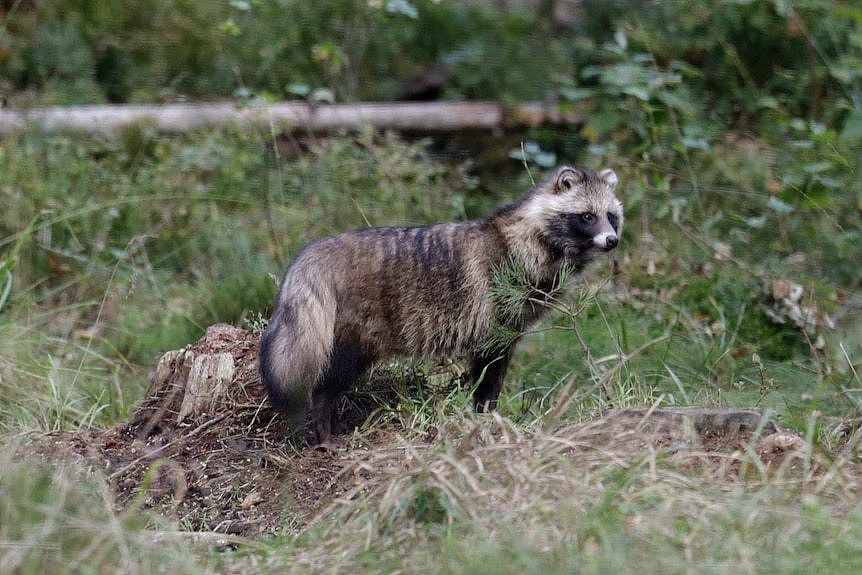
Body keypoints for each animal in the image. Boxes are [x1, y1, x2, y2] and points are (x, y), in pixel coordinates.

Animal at [260, 165, 624, 446]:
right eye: (587, 216)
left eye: (611, 216)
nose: (612, 241)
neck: (533, 236)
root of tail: (315, 252)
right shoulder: (496, 314)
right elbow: (488, 374)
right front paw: (485, 415)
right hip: (355, 331)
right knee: (327, 380)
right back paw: (323, 425)